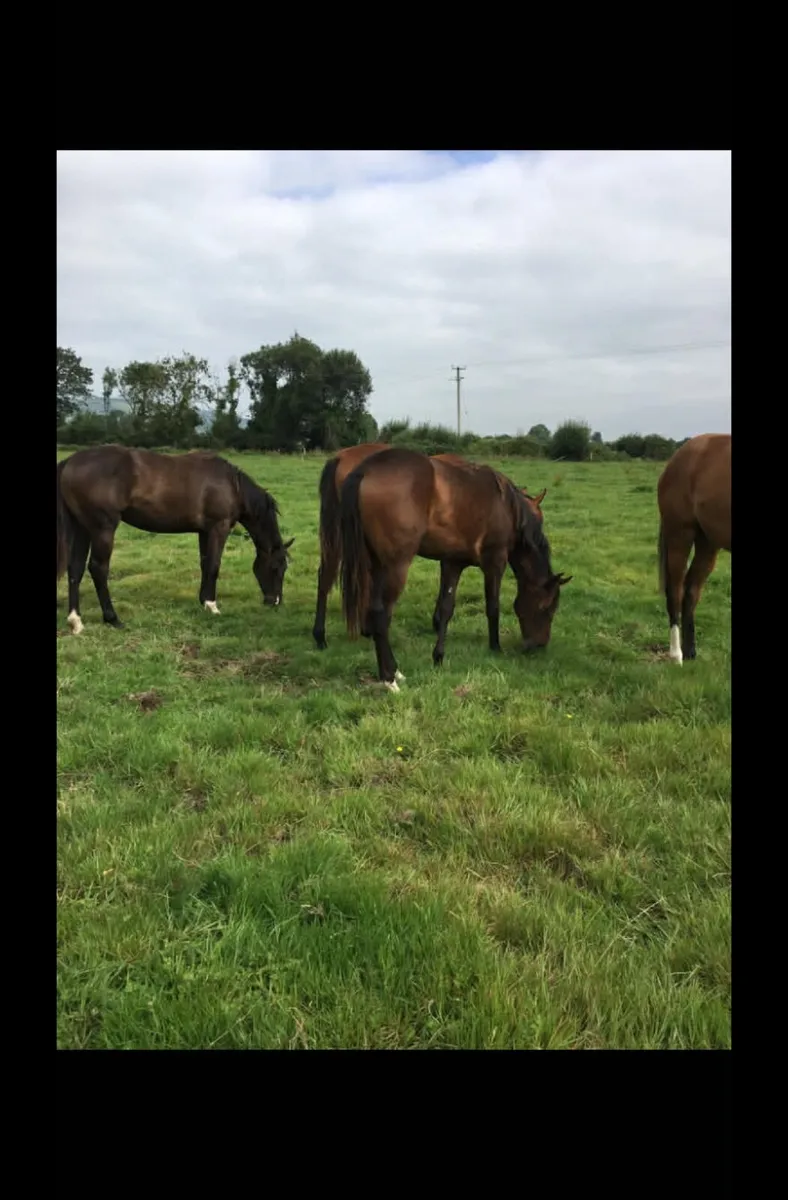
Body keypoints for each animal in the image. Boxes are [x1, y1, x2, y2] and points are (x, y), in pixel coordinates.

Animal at [56, 445, 293, 634]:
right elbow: (214, 566)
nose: (275, 602)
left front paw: (203, 602)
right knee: (98, 568)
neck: (232, 486)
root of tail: (71, 462)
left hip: (82, 528)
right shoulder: (219, 528)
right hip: (102, 528)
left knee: (75, 569)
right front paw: (212, 606)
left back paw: (76, 621)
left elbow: (205, 564)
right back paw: (113, 618)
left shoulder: (204, 531)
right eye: (276, 567)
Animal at [338, 447, 570, 690]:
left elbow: (446, 608)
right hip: (395, 567)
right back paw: (390, 677)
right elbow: (493, 606)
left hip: (375, 564)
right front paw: (495, 647)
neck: (509, 509)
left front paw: (438, 657)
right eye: (547, 608)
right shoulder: (495, 563)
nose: (539, 645)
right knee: (381, 614)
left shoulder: (452, 563)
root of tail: (366, 470)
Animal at [657, 433, 730, 664]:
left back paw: (690, 652)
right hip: (680, 534)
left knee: (691, 590)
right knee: (676, 590)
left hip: (708, 541)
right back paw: (676, 654)